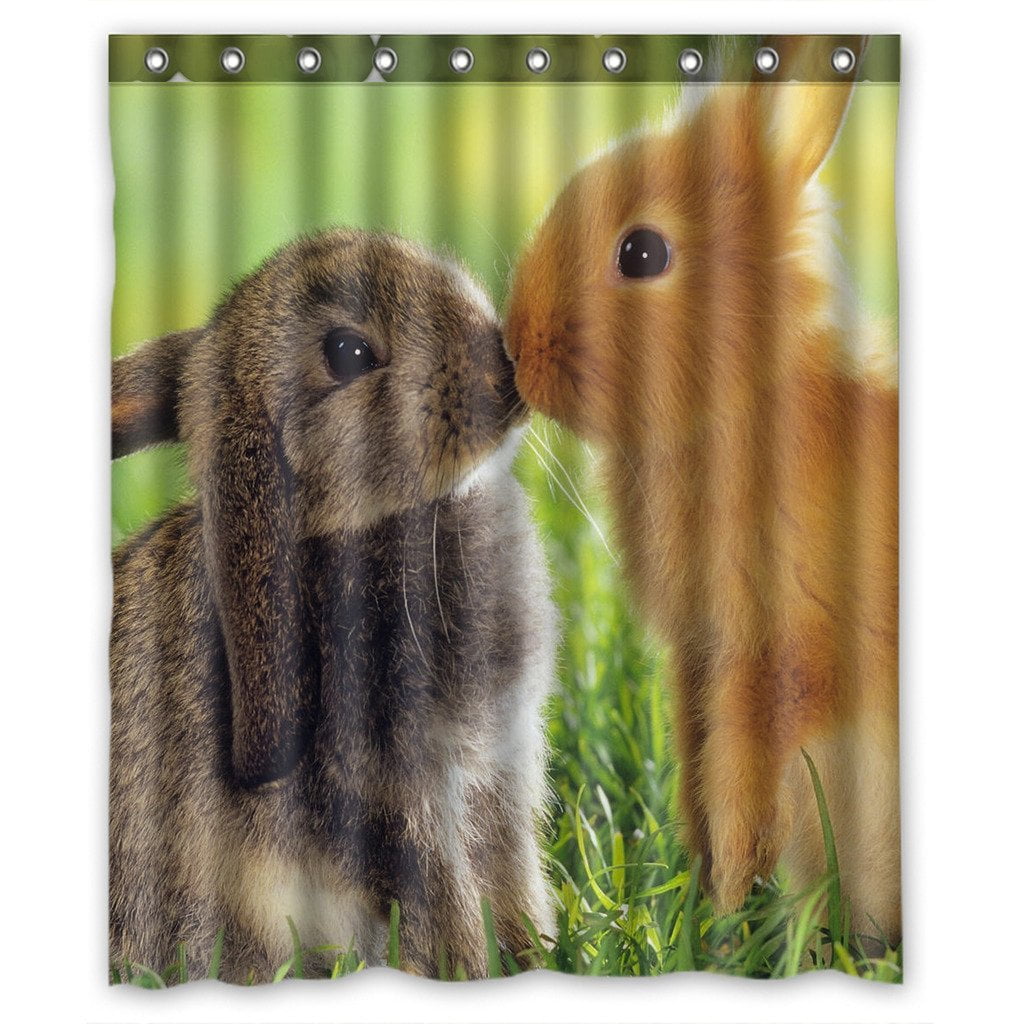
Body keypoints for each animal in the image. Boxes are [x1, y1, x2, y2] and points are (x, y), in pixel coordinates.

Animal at [109, 228, 557, 982]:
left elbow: (513, 880)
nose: (504, 366)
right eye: (347, 354)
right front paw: (475, 971)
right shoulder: (388, 796)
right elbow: (447, 897)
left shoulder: (498, 773)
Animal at [504, 36, 899, 946]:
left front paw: (719, 917)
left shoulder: (774, 665)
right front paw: (703, 895)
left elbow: (738, 789)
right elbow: (699, 776)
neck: (750, 403)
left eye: (643, 254)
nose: (513, 349)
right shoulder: (699, 659)